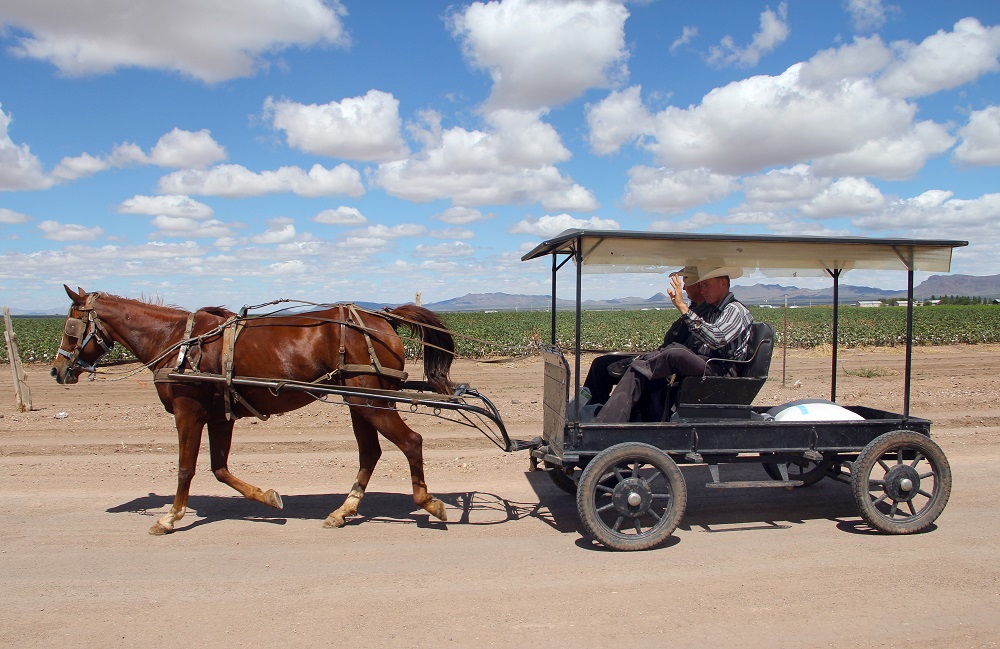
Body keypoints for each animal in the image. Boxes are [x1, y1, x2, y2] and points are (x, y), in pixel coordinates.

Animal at [51, 285, 456, 535]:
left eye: (71, 326)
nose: (57, 370)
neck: (177, 343)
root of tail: (383, 318)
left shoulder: (188, 410)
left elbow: (185, 468)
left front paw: (170, 517)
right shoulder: (219, 416)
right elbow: (219, 469)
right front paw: (267, 497)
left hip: (370, 402)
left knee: (411, 442)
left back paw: (428, 502)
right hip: (360, 402)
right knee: (371, 452)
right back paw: (344, 510)